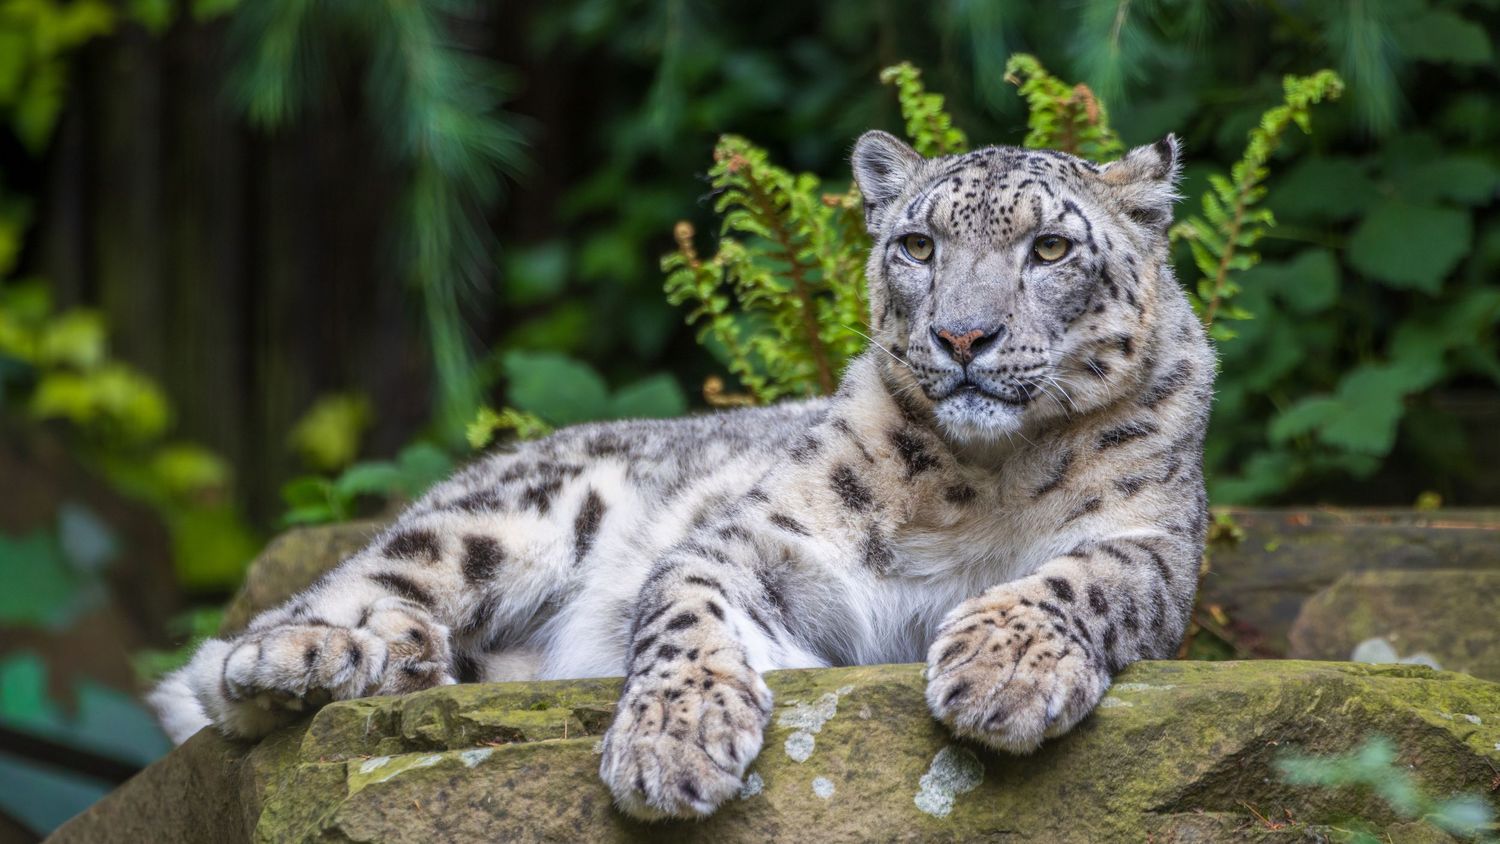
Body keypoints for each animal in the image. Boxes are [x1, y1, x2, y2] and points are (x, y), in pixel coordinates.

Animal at [150, 130, 1214, 821]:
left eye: (1051, 247)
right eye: (918, 245)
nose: (962, 335)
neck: (979, 480)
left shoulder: (1154, 548)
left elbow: (1083, 577)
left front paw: (1003, 672)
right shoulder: (765, 538)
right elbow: (685, 605)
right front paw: (676, 739)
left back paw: (406, 662)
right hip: (495, 522)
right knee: (249, 646)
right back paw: (320, 659)